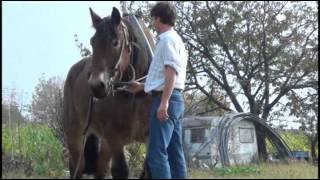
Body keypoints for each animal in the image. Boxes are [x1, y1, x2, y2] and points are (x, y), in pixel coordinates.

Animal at [62, 7, 155, 179]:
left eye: (115, 42)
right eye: (92, 42)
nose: (96, 86)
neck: (136, 92)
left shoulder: (152, 137)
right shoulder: (114, 137)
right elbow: (121, 171)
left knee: (100, 167)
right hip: (75, 135)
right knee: (77, 165)